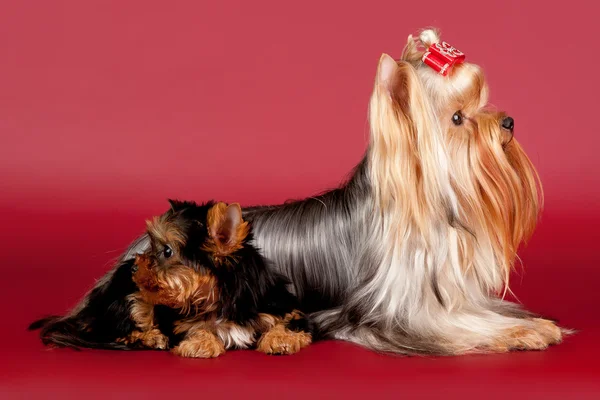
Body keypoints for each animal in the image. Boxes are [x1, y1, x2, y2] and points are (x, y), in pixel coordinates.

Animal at [31, 200, 314, 356]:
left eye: (167, 251)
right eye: (151, 245)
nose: (134, 268)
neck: (220, 298)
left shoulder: (279, 305)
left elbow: (290, 322)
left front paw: (282, 339)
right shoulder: (180, 323)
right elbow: (198, 329)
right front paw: (200, 344)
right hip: (131, 299)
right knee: (119, 328)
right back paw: (151, 337)